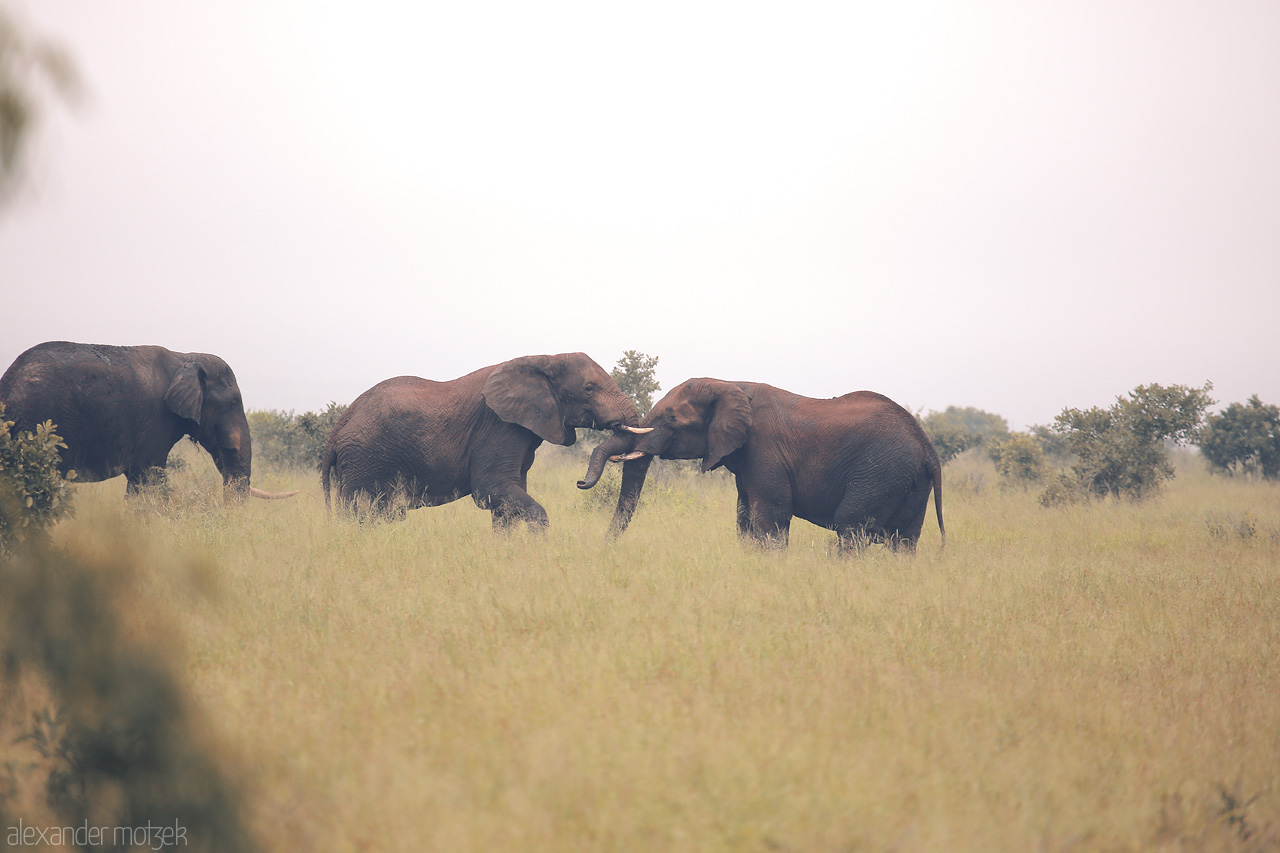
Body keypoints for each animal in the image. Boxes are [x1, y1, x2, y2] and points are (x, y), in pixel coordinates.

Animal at [316, 350, 645, 525]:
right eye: (589, 389)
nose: (579, 482)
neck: (544, 358)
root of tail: (336, 432)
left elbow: (507, 501)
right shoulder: (500, 426)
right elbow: (491, 489)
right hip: (364, 461)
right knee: (360, 513)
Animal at [576, 379, 947, 550]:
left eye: (671, 419)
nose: (580, 483)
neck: (730, 384)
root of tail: (928, 448)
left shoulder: (764, 449)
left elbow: (770, 515)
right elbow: (744, 519)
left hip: (880, 472)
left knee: (850, 529)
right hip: (909, 480)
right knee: (904, 540)